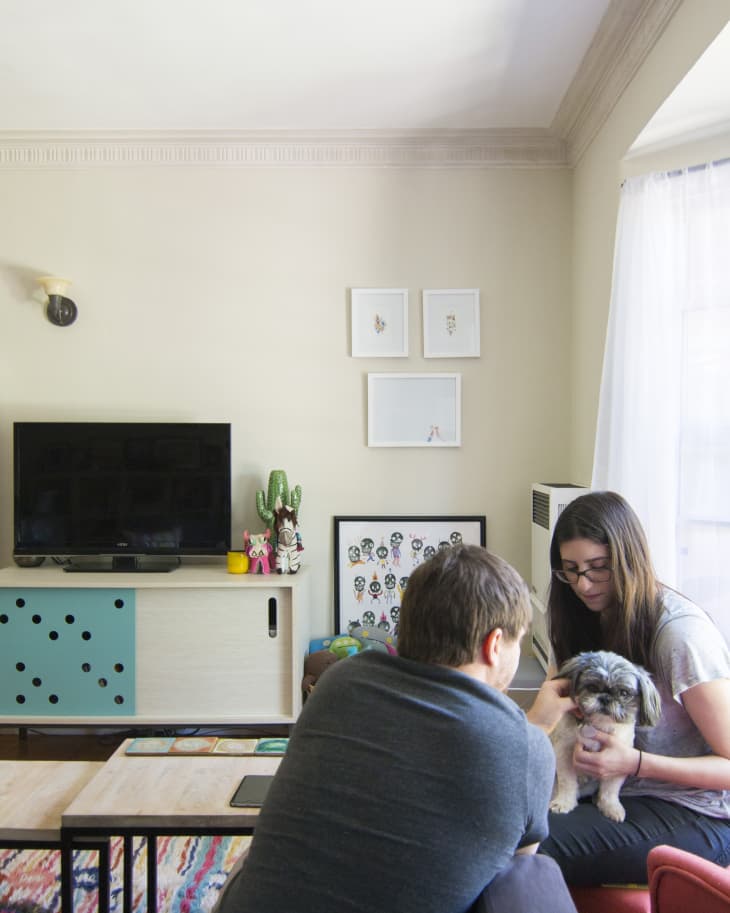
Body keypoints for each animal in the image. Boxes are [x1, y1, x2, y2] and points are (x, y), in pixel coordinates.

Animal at [549, 650, 661, 822]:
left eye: (623, 693)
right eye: (591, 687)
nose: (605, 697)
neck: (598, 726)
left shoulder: (617, 762)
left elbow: (610, 790)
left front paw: (611, 807)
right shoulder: (564, 753)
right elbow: (567, 782)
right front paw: (564, 802)